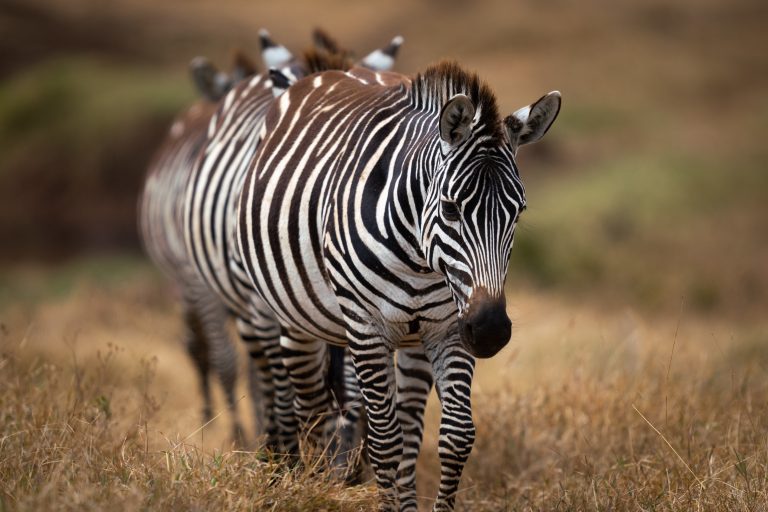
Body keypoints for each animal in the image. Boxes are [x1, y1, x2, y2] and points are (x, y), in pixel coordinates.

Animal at [237, 62, 560, 510]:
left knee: (405, 426)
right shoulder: (367, 328)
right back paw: (313, 484)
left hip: (412, 342)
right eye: (450, 209)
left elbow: (455, 436)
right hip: (296, 321)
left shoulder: (450, 328)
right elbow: (383, 441)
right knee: (314, 410)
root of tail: (326, 71)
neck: (419, 260)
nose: (491, 330)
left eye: (518, 212)